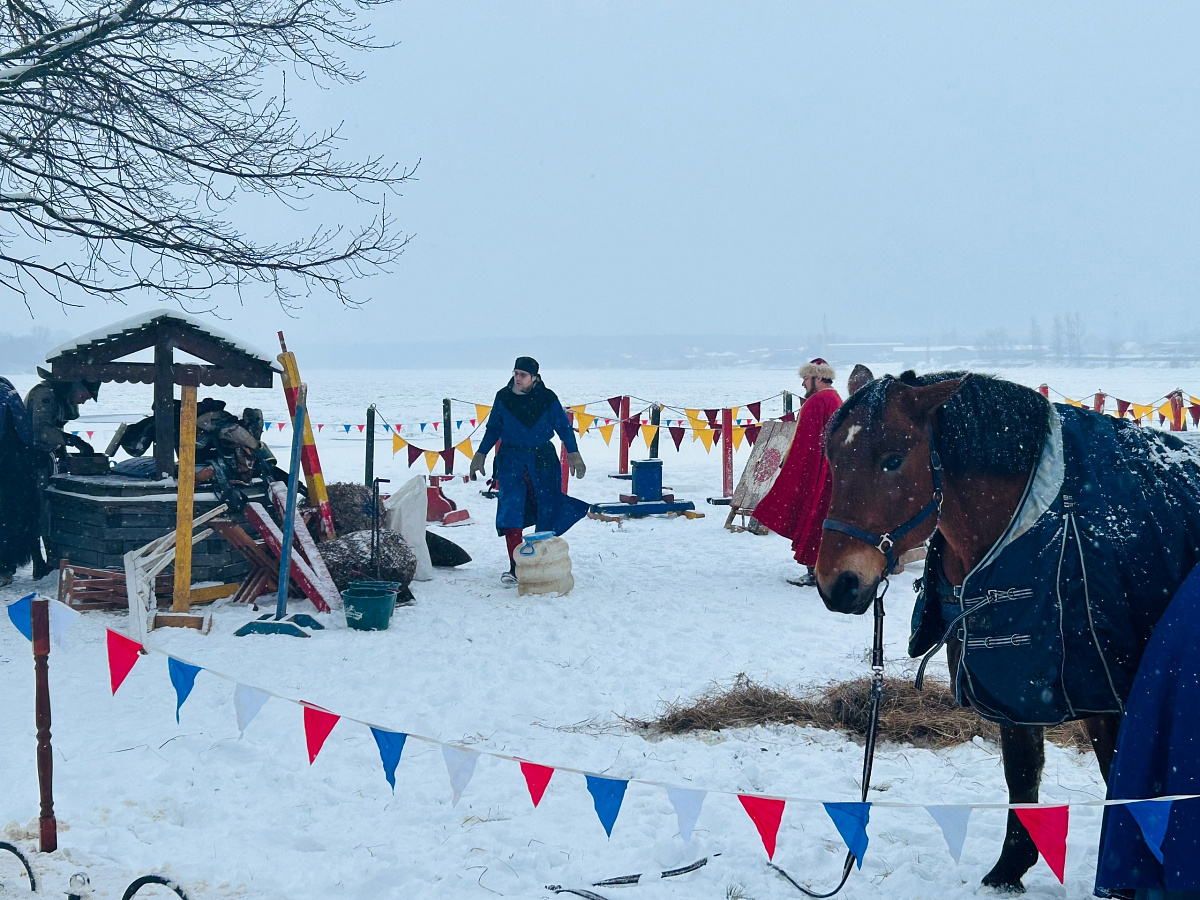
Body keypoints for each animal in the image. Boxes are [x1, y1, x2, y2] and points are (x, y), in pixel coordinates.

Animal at [816, 374, 1200, 897]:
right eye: (833, 458)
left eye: (893, 459)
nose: (838, 583)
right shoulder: (1018, 686)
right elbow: (1022, 773)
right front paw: (1009, 869)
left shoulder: (1109, 693)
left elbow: (1120, 781)